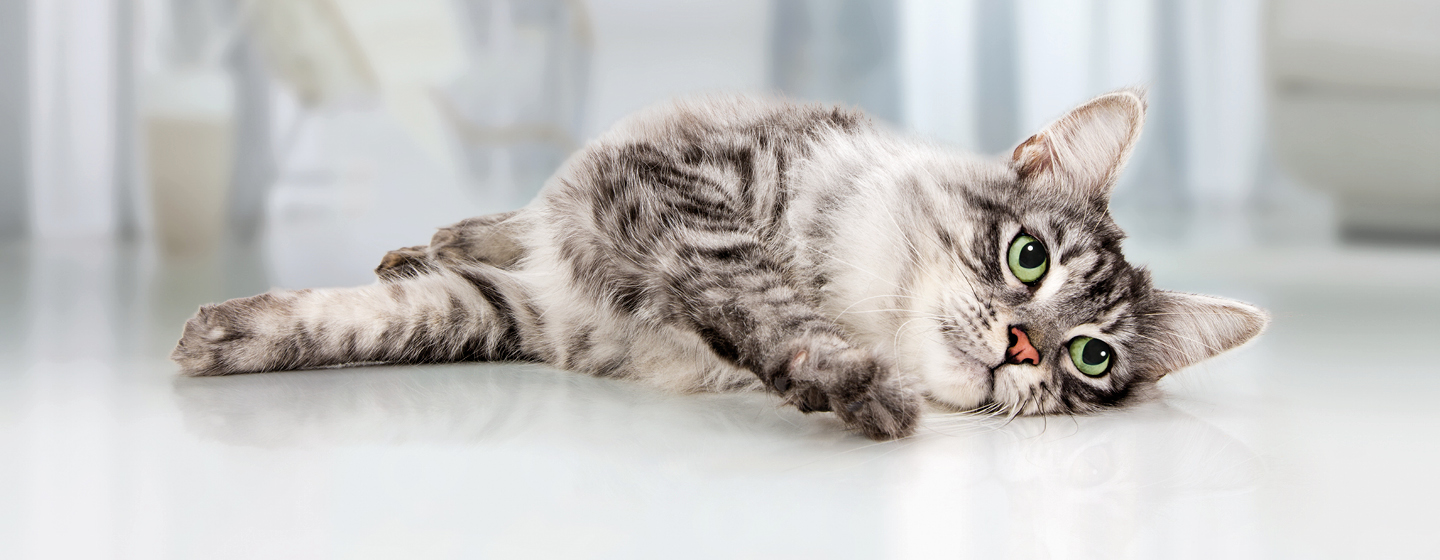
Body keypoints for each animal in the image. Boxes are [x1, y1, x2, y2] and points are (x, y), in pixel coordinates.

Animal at [174, 89, 1267, 440]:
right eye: (1028, 258)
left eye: (1090, 360)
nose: (1023, 345)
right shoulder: (677, 192)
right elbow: (753, 286)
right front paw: (851, 378)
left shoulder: (527, 311)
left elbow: (384, 319)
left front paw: (227, 335)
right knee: (496, 223)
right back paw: (425, 239)